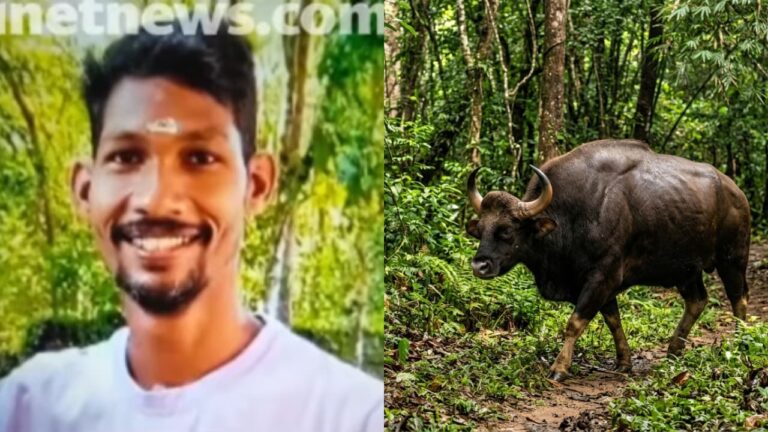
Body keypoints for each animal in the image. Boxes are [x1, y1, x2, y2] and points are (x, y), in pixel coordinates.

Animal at [466, 139, 751, 381]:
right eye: (480, 230)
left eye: (506, 231)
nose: (480, 265)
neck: (571, 217)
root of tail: (736, 193)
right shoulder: (601, 284)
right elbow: (613, 321)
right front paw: (624, 362)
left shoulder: (602, 277)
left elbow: (574, 323)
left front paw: (559, 368)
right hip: (687, 270)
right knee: (697, 300)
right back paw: (673, 351)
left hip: (733, 259)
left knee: (739, 300)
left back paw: (740, 345)